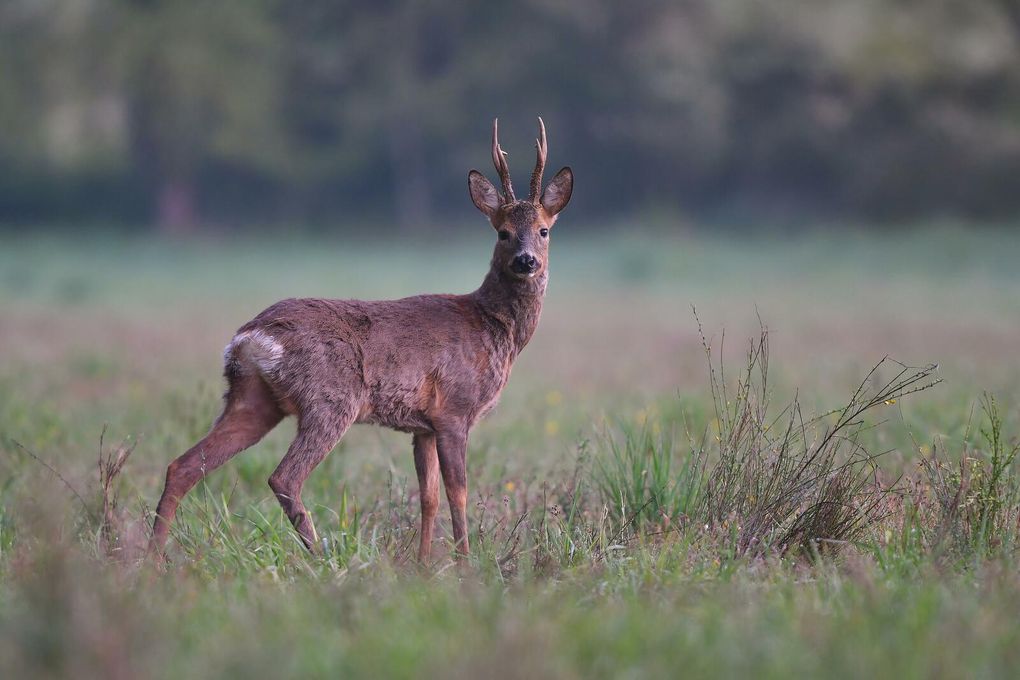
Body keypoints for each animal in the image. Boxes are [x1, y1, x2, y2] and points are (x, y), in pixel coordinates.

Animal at [147, 117, 571, 562]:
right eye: (503, 232)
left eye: (543, 230)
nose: (526, 261)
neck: (491, 326)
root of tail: (249, 337)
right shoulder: (454, 410)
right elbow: (459, 493)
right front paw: (465, 563)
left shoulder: (424, 425)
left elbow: (429, 497)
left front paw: (423, 564)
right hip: (330, 399)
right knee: (284, 477)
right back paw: (321, 557)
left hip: (253, 400)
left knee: (183, 466)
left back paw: (153, 558)